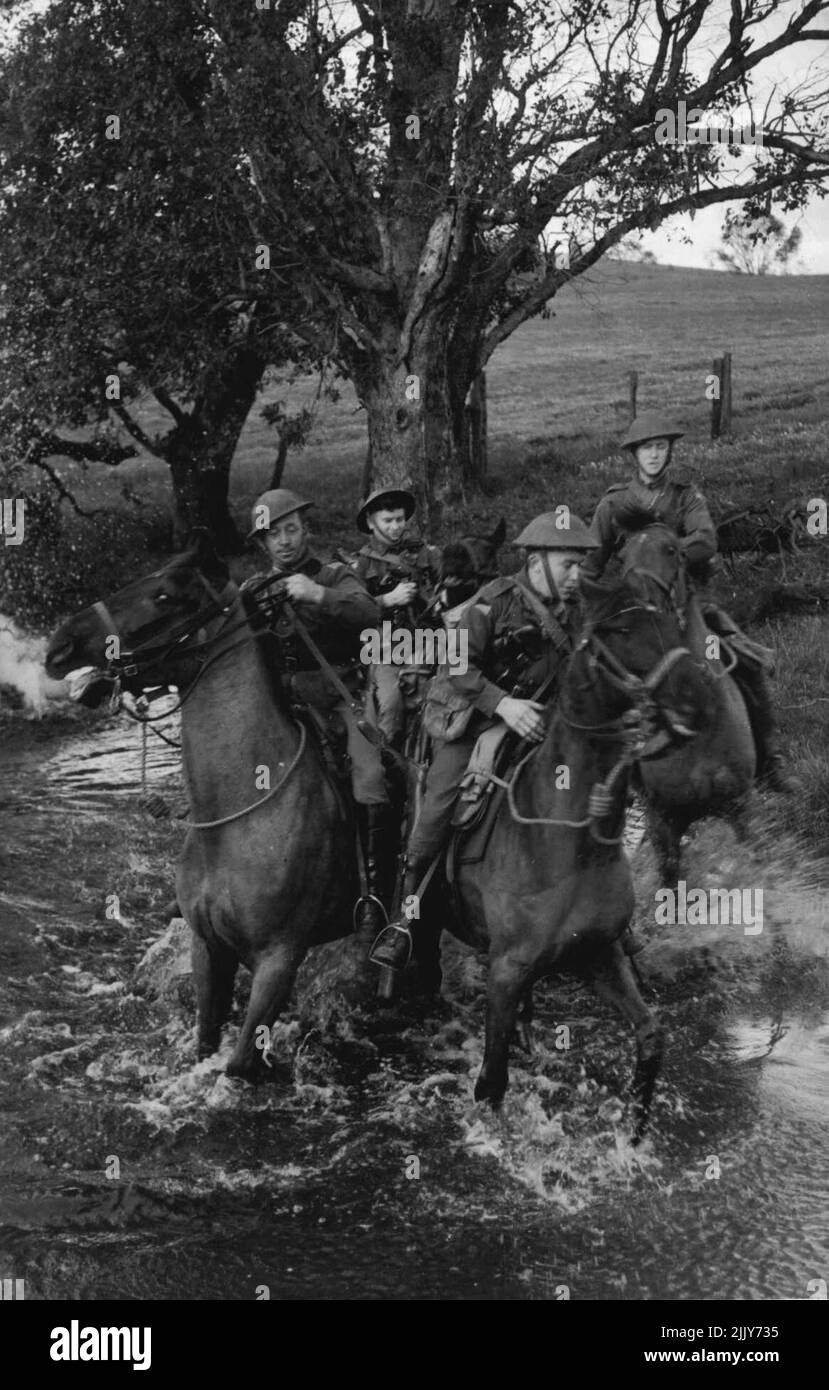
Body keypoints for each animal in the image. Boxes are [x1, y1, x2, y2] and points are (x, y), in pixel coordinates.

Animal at [42, 530, 358, 1084]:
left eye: (166, 594)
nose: (60, 643)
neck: (243, 809)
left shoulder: (280, 959)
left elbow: (238, 1064)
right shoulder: (209, 947)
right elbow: (206, 1041)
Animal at [411, 575, 709, 1128]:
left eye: (669, 620)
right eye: (620, 630)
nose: (696, 702)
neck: (569, 843)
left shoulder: (600, 952)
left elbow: (652, 1038)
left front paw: (633, 1134)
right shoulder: (505, 972)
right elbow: (491, 1084)